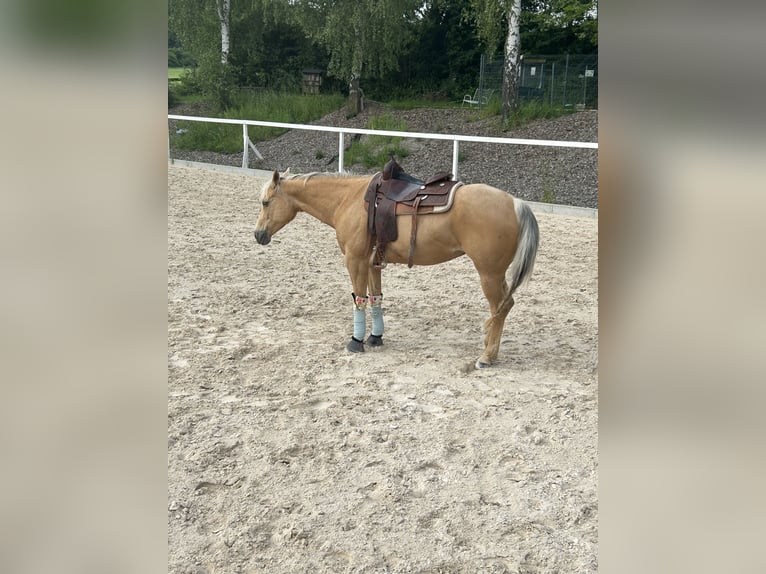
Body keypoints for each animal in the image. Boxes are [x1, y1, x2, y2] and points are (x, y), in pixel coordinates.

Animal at [253, 167, 539, 369]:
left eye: (266, 202)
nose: (258, 235)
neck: (348, 199)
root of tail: (515, 203)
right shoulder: (372, 263)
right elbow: (375, 298)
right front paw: (375, 338)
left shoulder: (354, 260)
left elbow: (359, 300)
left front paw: (356, 342)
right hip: (496, 275)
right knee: (504, 307)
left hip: (488, 274)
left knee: (500, 307)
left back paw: (487, 356)